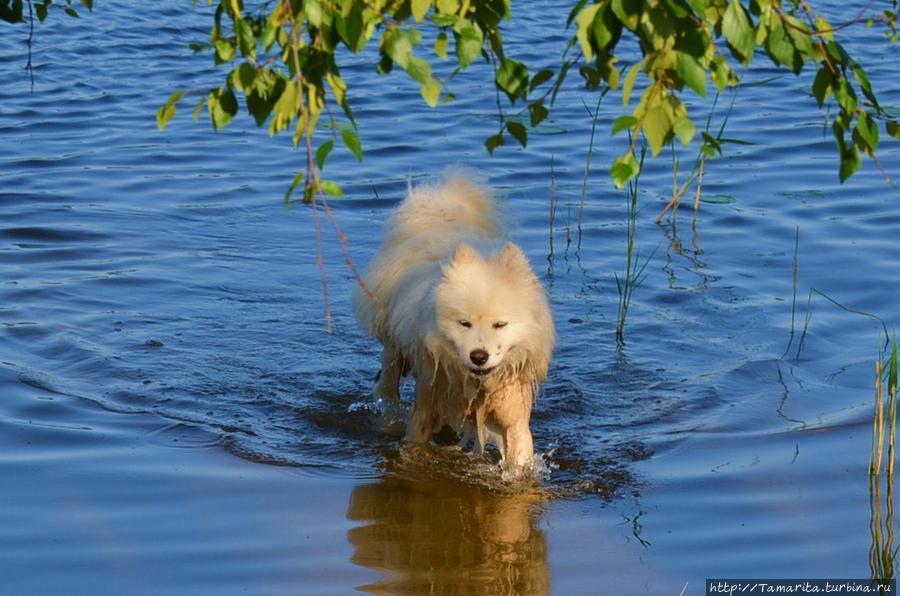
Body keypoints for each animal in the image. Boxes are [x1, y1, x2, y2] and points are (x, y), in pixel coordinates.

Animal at [354, 172, 556, 474]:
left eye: (500, 325)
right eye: (464, 323)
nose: (479, 356)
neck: (477, 384)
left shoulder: (513, 415)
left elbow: (518, 460)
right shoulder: (427, 403)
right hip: (393, 351)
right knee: (386, 387)